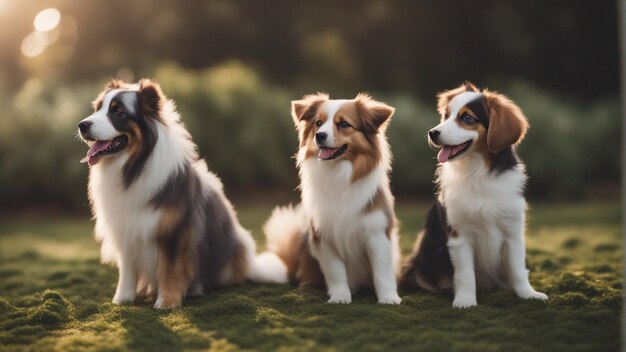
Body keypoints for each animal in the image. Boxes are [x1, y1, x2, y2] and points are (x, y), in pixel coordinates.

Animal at [75, 77, 286, 308]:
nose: (82, 125)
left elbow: (170, 268)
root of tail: (251, 265)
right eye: (97, 109)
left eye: (119, 112)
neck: (132, 166)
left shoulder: (177, 230)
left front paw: (167, 301)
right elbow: (127, 270)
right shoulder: (126, 230)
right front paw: (123, 299)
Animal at [260, 94, 400, 306]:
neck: (338, 173)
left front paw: (388, 298)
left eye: (343, 124)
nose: (319, 136)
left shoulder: (377, 234)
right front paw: (340, 297)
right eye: (318, 123)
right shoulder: (323, 236)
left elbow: (382, 272)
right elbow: (335, 271)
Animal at [400, 82, 544, 308]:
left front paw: (528, 294)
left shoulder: (513, 232)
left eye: (467, 118)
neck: (476, 170)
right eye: (446, 115)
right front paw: (465, 301)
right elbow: (465, 273)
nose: (432, 133)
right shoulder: (459, 235)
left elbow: (518, 269)